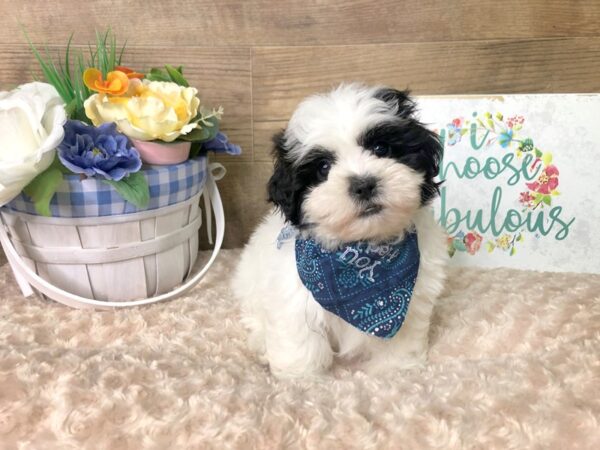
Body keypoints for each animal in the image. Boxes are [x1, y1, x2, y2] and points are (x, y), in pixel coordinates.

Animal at [232, 83, 448, 376]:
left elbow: (400, 339)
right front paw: (300, 377)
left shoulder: (412, 302)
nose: (364, 184)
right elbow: (300, 340)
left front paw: (396, 369)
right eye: (323, 167)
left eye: (380, 148)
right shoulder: (294, 298)